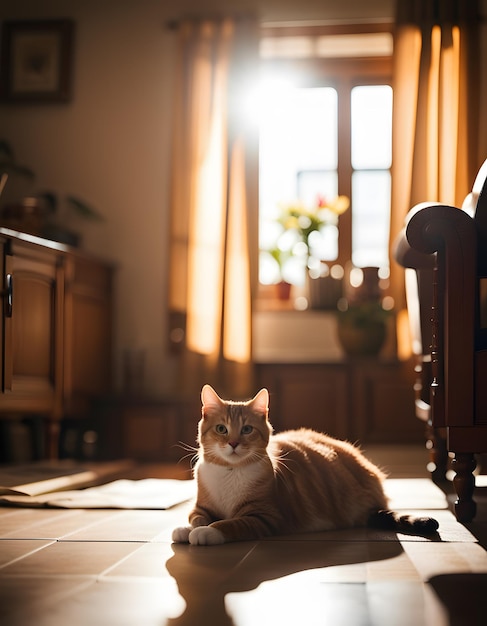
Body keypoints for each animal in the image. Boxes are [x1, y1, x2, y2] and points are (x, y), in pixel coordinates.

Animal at [173, 382, 440, 544]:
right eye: (222, 429)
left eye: (247, 429)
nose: (234, 443)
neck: (230, 472)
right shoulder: (201, 507)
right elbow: (197, 517)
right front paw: (188, 529)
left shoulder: (265, 516)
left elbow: (230, 524)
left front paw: (208, 531)